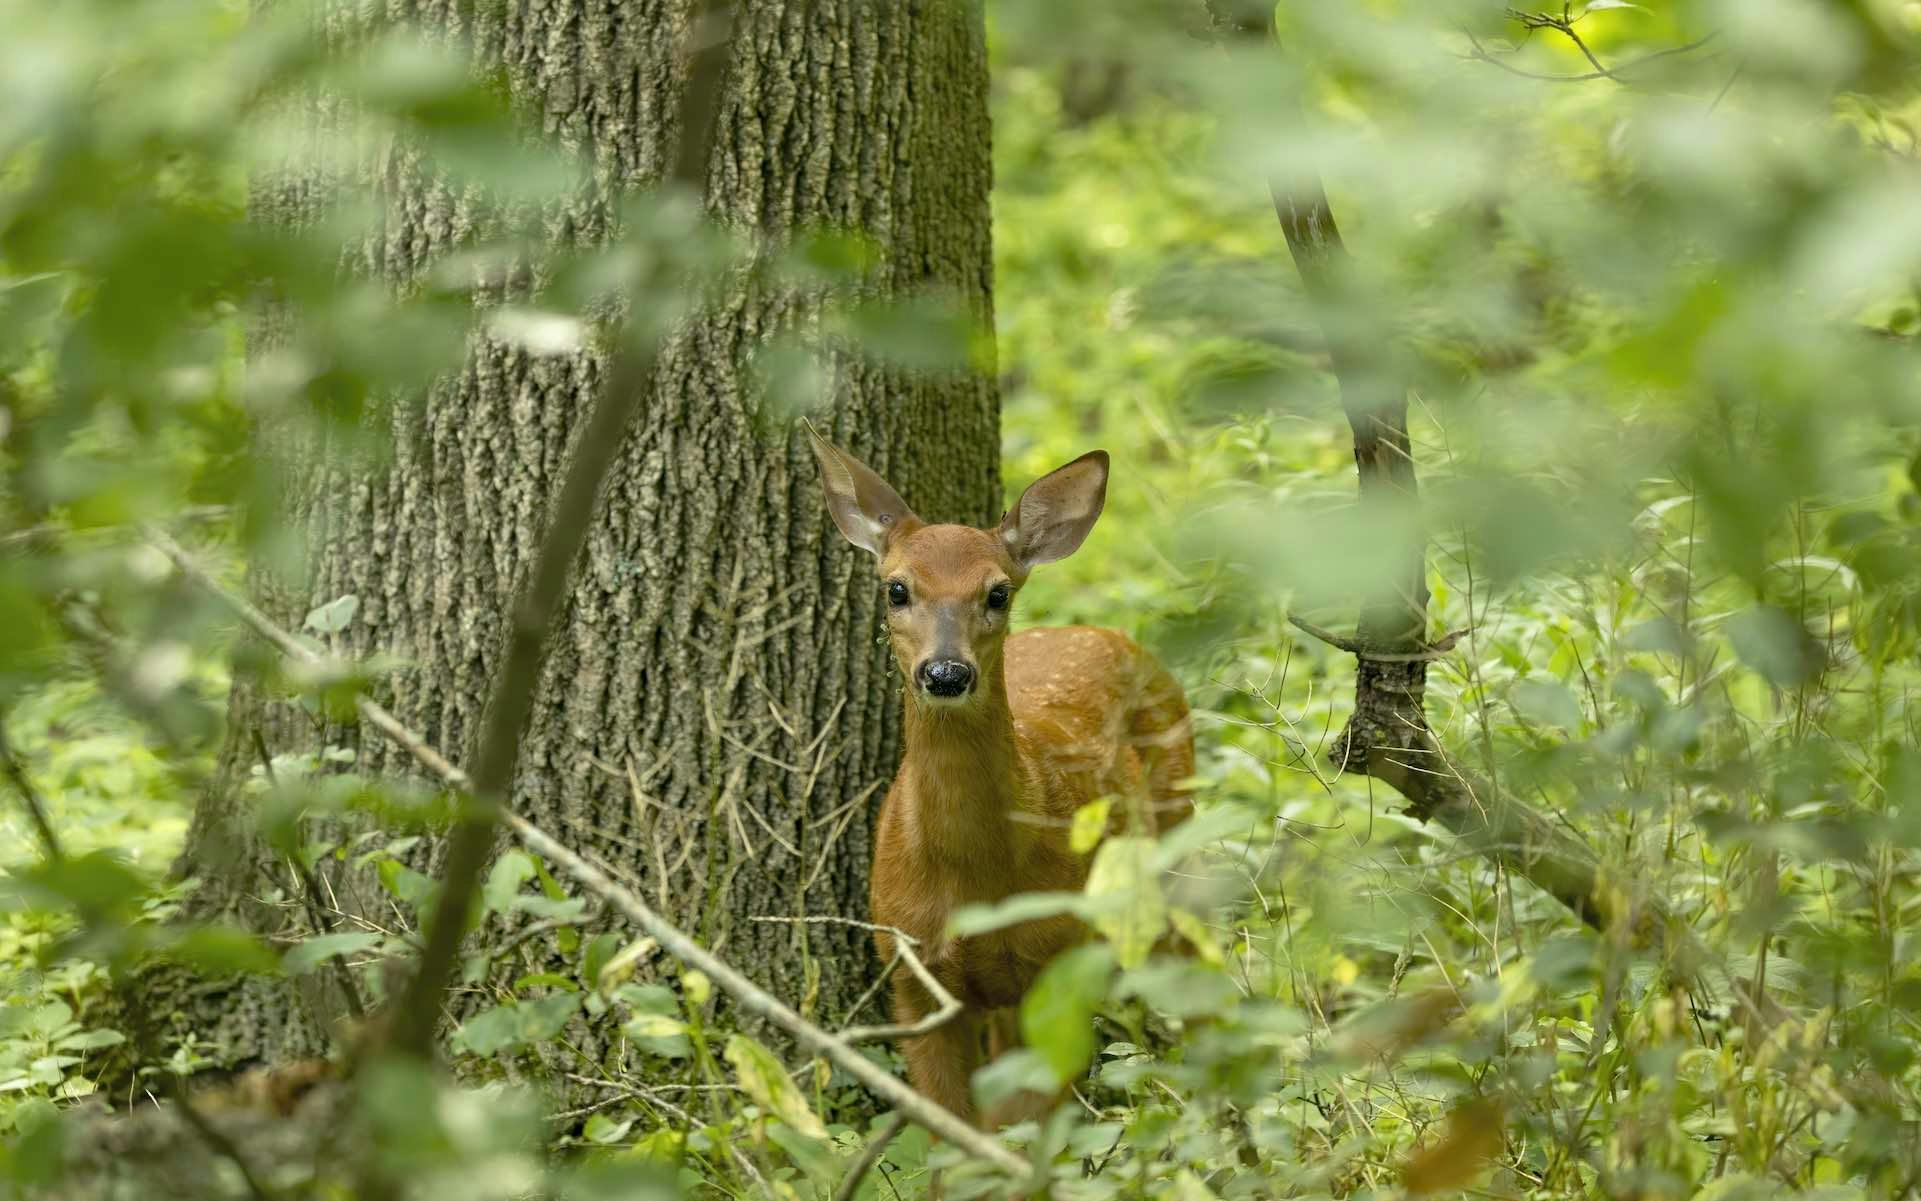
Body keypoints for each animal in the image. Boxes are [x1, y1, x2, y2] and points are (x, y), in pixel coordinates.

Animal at [802, 420, 1191, 1122]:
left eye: (998, 592)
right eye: (897, 588)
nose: (946, 672)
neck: (970, 877)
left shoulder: (1055, 964)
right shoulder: (911, 976)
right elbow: (952, 1130)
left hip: (1176, 830)